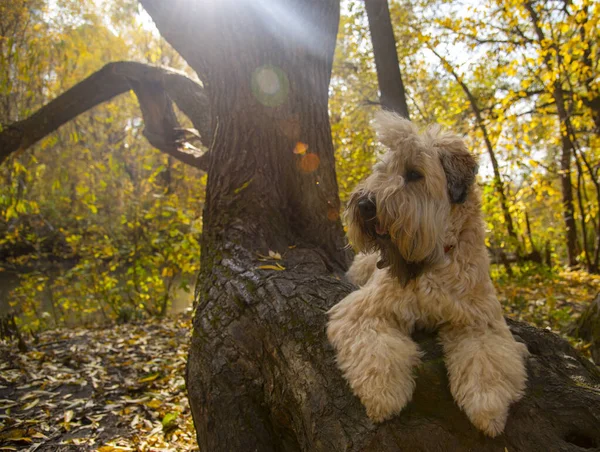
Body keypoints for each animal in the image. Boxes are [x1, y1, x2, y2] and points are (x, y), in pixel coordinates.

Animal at [326, 112, 528, 438]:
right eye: (382, 170)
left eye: (414, 174)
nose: (365, 204)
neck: (435, 259)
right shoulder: (365, 310)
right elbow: (376, 350)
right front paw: (383, 395)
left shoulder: (478, 320)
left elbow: (487, 359)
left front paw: (488, 407)